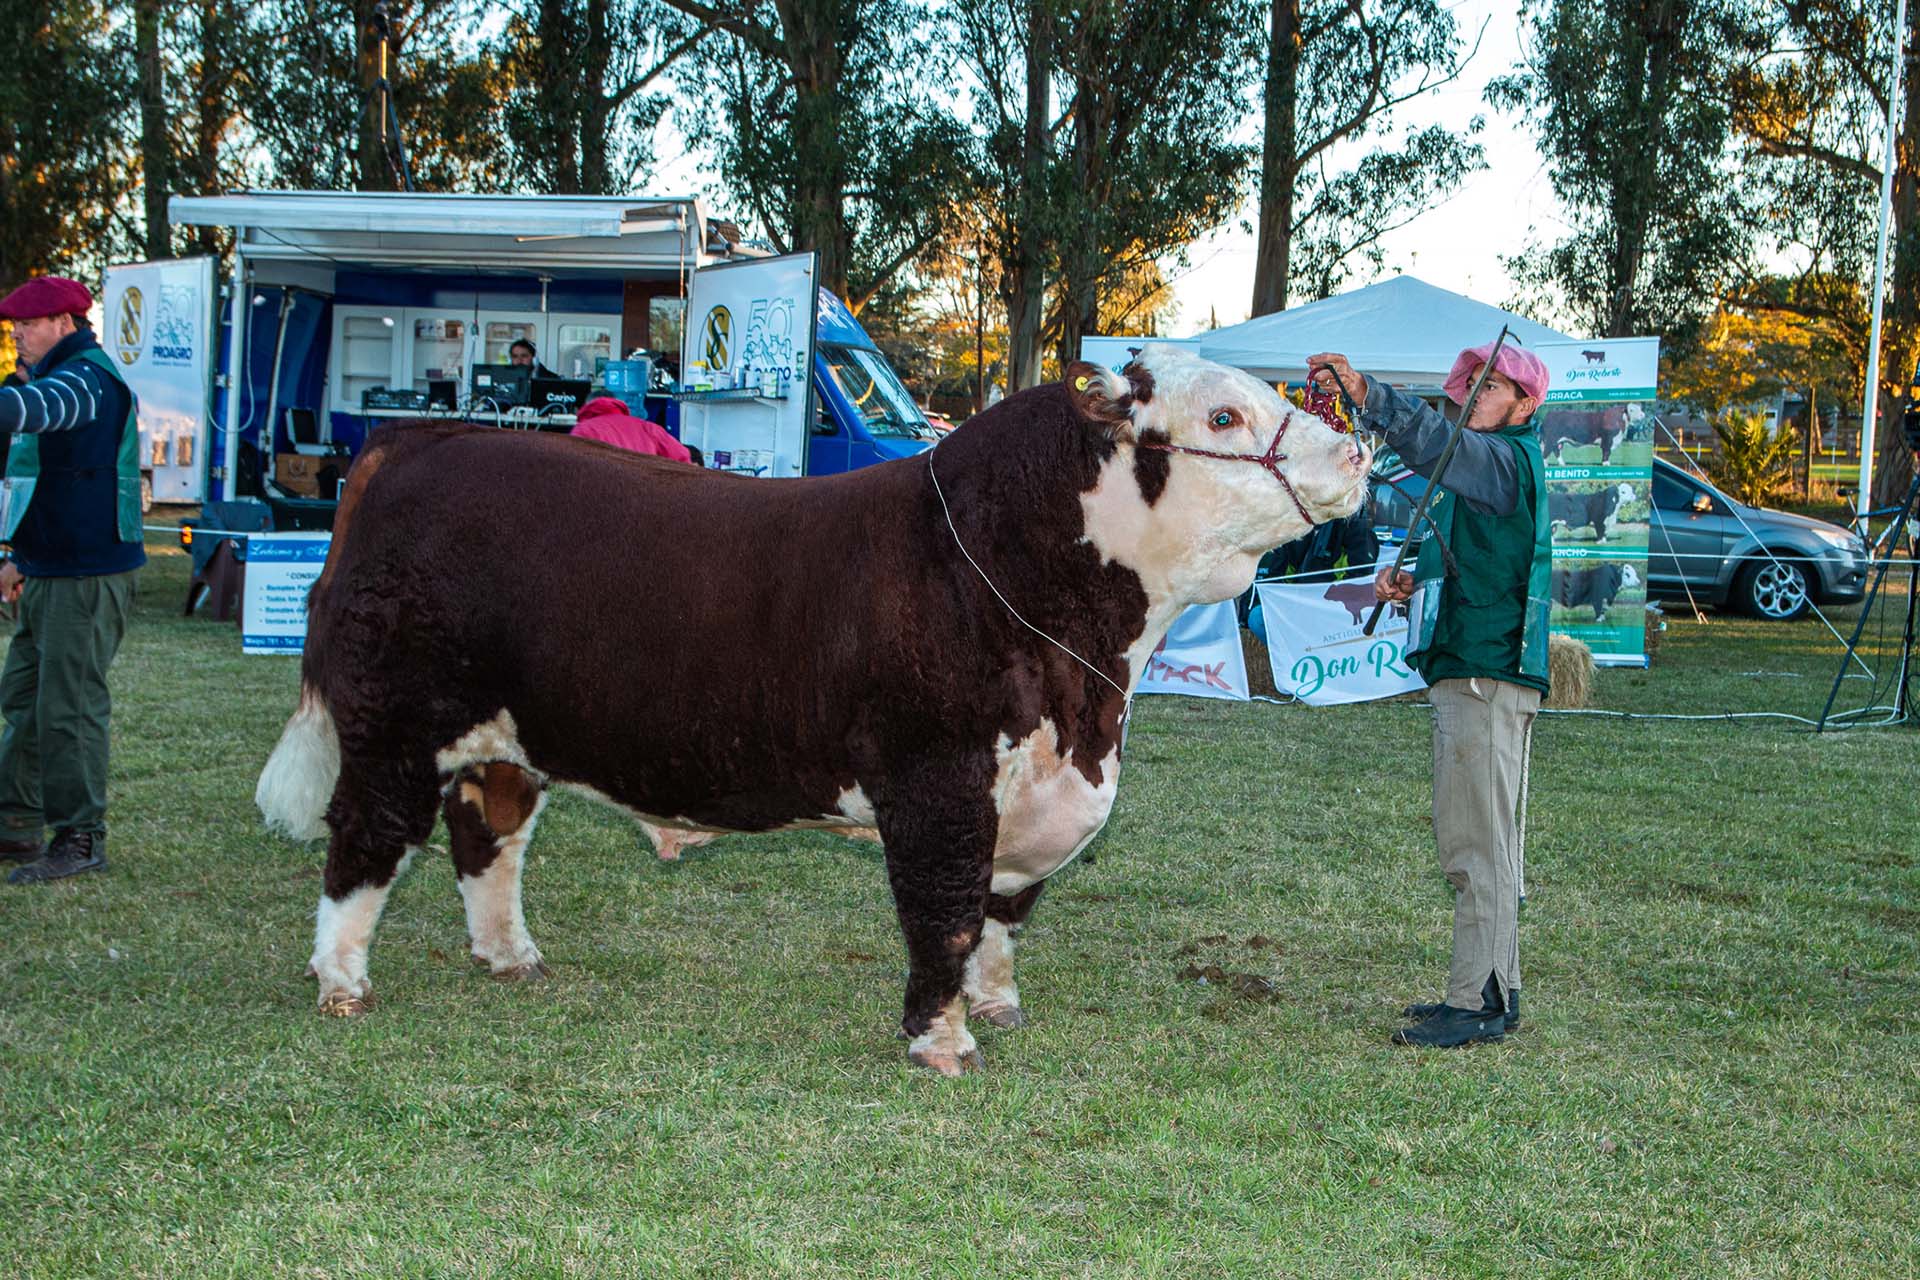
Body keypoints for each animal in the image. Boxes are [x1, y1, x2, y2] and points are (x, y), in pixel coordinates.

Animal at [255, 345, 1374, 1074]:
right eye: (1223, 417)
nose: (1360, 452)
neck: (1090, 687)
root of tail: (417, 443)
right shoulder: (936, 783)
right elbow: (943, 914)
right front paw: (943, 1040)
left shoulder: (1038, 788)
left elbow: (1000, 912)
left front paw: (1000, 1005)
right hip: (395, 728)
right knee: (365, 841)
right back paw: (342, 981)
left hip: (506, 738)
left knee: (489, 834)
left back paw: (511, 958)